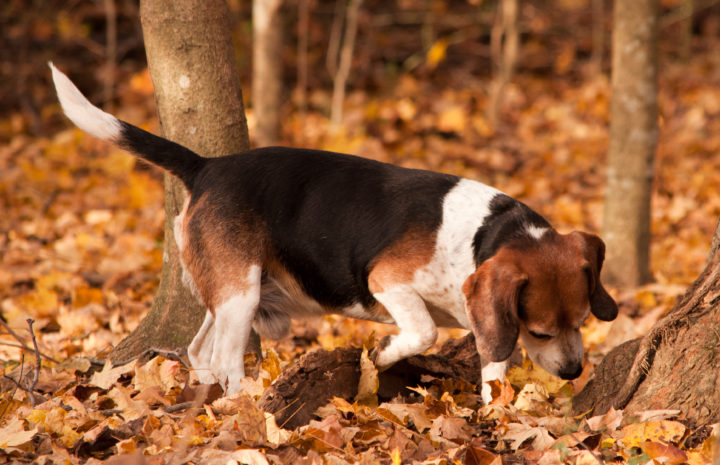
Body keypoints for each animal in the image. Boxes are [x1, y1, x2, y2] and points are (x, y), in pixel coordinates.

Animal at [50, 62, 616, 402]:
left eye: (583, 321)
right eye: (540, 331)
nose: (574, 372)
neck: (484, 233)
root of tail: (207, 166)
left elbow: (492, 362)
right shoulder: (388, 280)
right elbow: (423, 331)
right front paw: (382, 355)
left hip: (231, 293)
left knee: (197, 352)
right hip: (240, 294)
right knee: (225, 360)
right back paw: (242, 404)